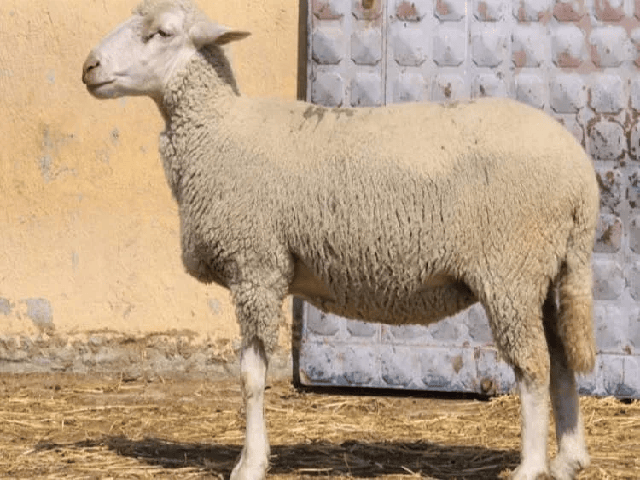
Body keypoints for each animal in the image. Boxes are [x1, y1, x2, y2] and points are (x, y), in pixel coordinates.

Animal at [82, 1, 599, 479]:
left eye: (162, 32)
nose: (89, 67)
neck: (220, 130)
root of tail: (580, 176)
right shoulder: (259, 269)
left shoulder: (256, 267)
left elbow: (251, 377)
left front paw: (251, 463)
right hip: (544, 271)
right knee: (560, 359)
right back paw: (568, 459)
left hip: (509, 268)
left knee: (533, 366)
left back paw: (531, 466)